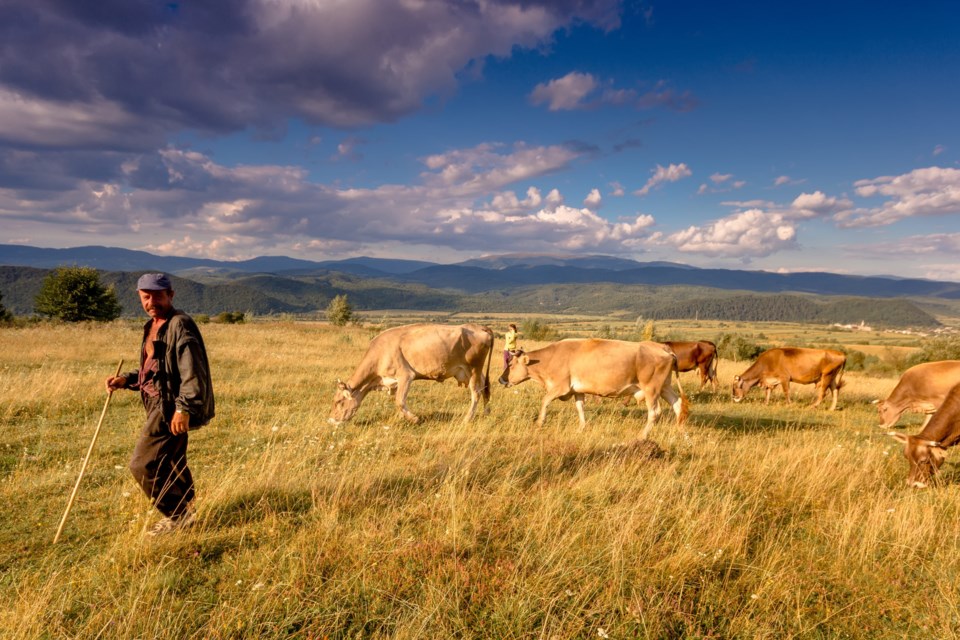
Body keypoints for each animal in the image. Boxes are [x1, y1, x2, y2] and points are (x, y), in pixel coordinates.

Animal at [330, 324, 496, 424]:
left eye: (338, 401)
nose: (331, 420)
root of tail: (480, 327)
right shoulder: (394, 382)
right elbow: (397, 401)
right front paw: (400, 418)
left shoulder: (406, 376)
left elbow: (400, 401)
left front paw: (414, 419)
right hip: (471, 371)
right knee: (485, 388)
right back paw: (486, 412)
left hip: (473, 368)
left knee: (476, 393)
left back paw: (468, 418)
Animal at [498, 338, 688, 438]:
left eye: (511, 364)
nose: (501, 379)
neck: (551, 358)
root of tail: (661, 346)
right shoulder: (578, 391)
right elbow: (580, 408)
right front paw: (581, 428)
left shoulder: (561, 387)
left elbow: (545, 401)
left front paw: (539, 423)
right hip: (665, 387)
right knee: (678, 405)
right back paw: (681, 431)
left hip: (652, 389)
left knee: (654, 412)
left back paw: (642, 435)